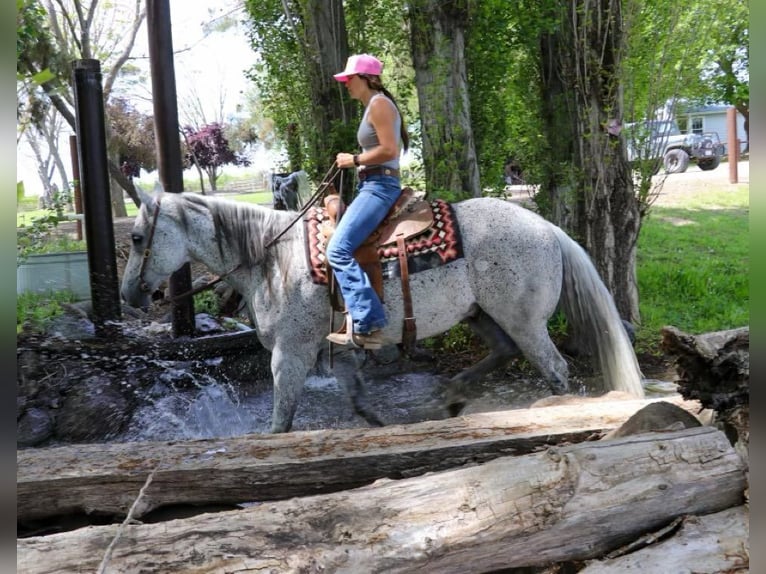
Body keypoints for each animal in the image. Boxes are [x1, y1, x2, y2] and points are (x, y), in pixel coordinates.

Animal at [121, 187, 648, 434]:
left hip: (524, 321)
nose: (130, 295)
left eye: (137, 237)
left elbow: (281, 419)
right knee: (503, 352)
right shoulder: (339, 350)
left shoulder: (290, 353)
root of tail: (547, 227)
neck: (274, 259)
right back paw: (450, 396)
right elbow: (358, 401)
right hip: (482, 315)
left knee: (554, 368)